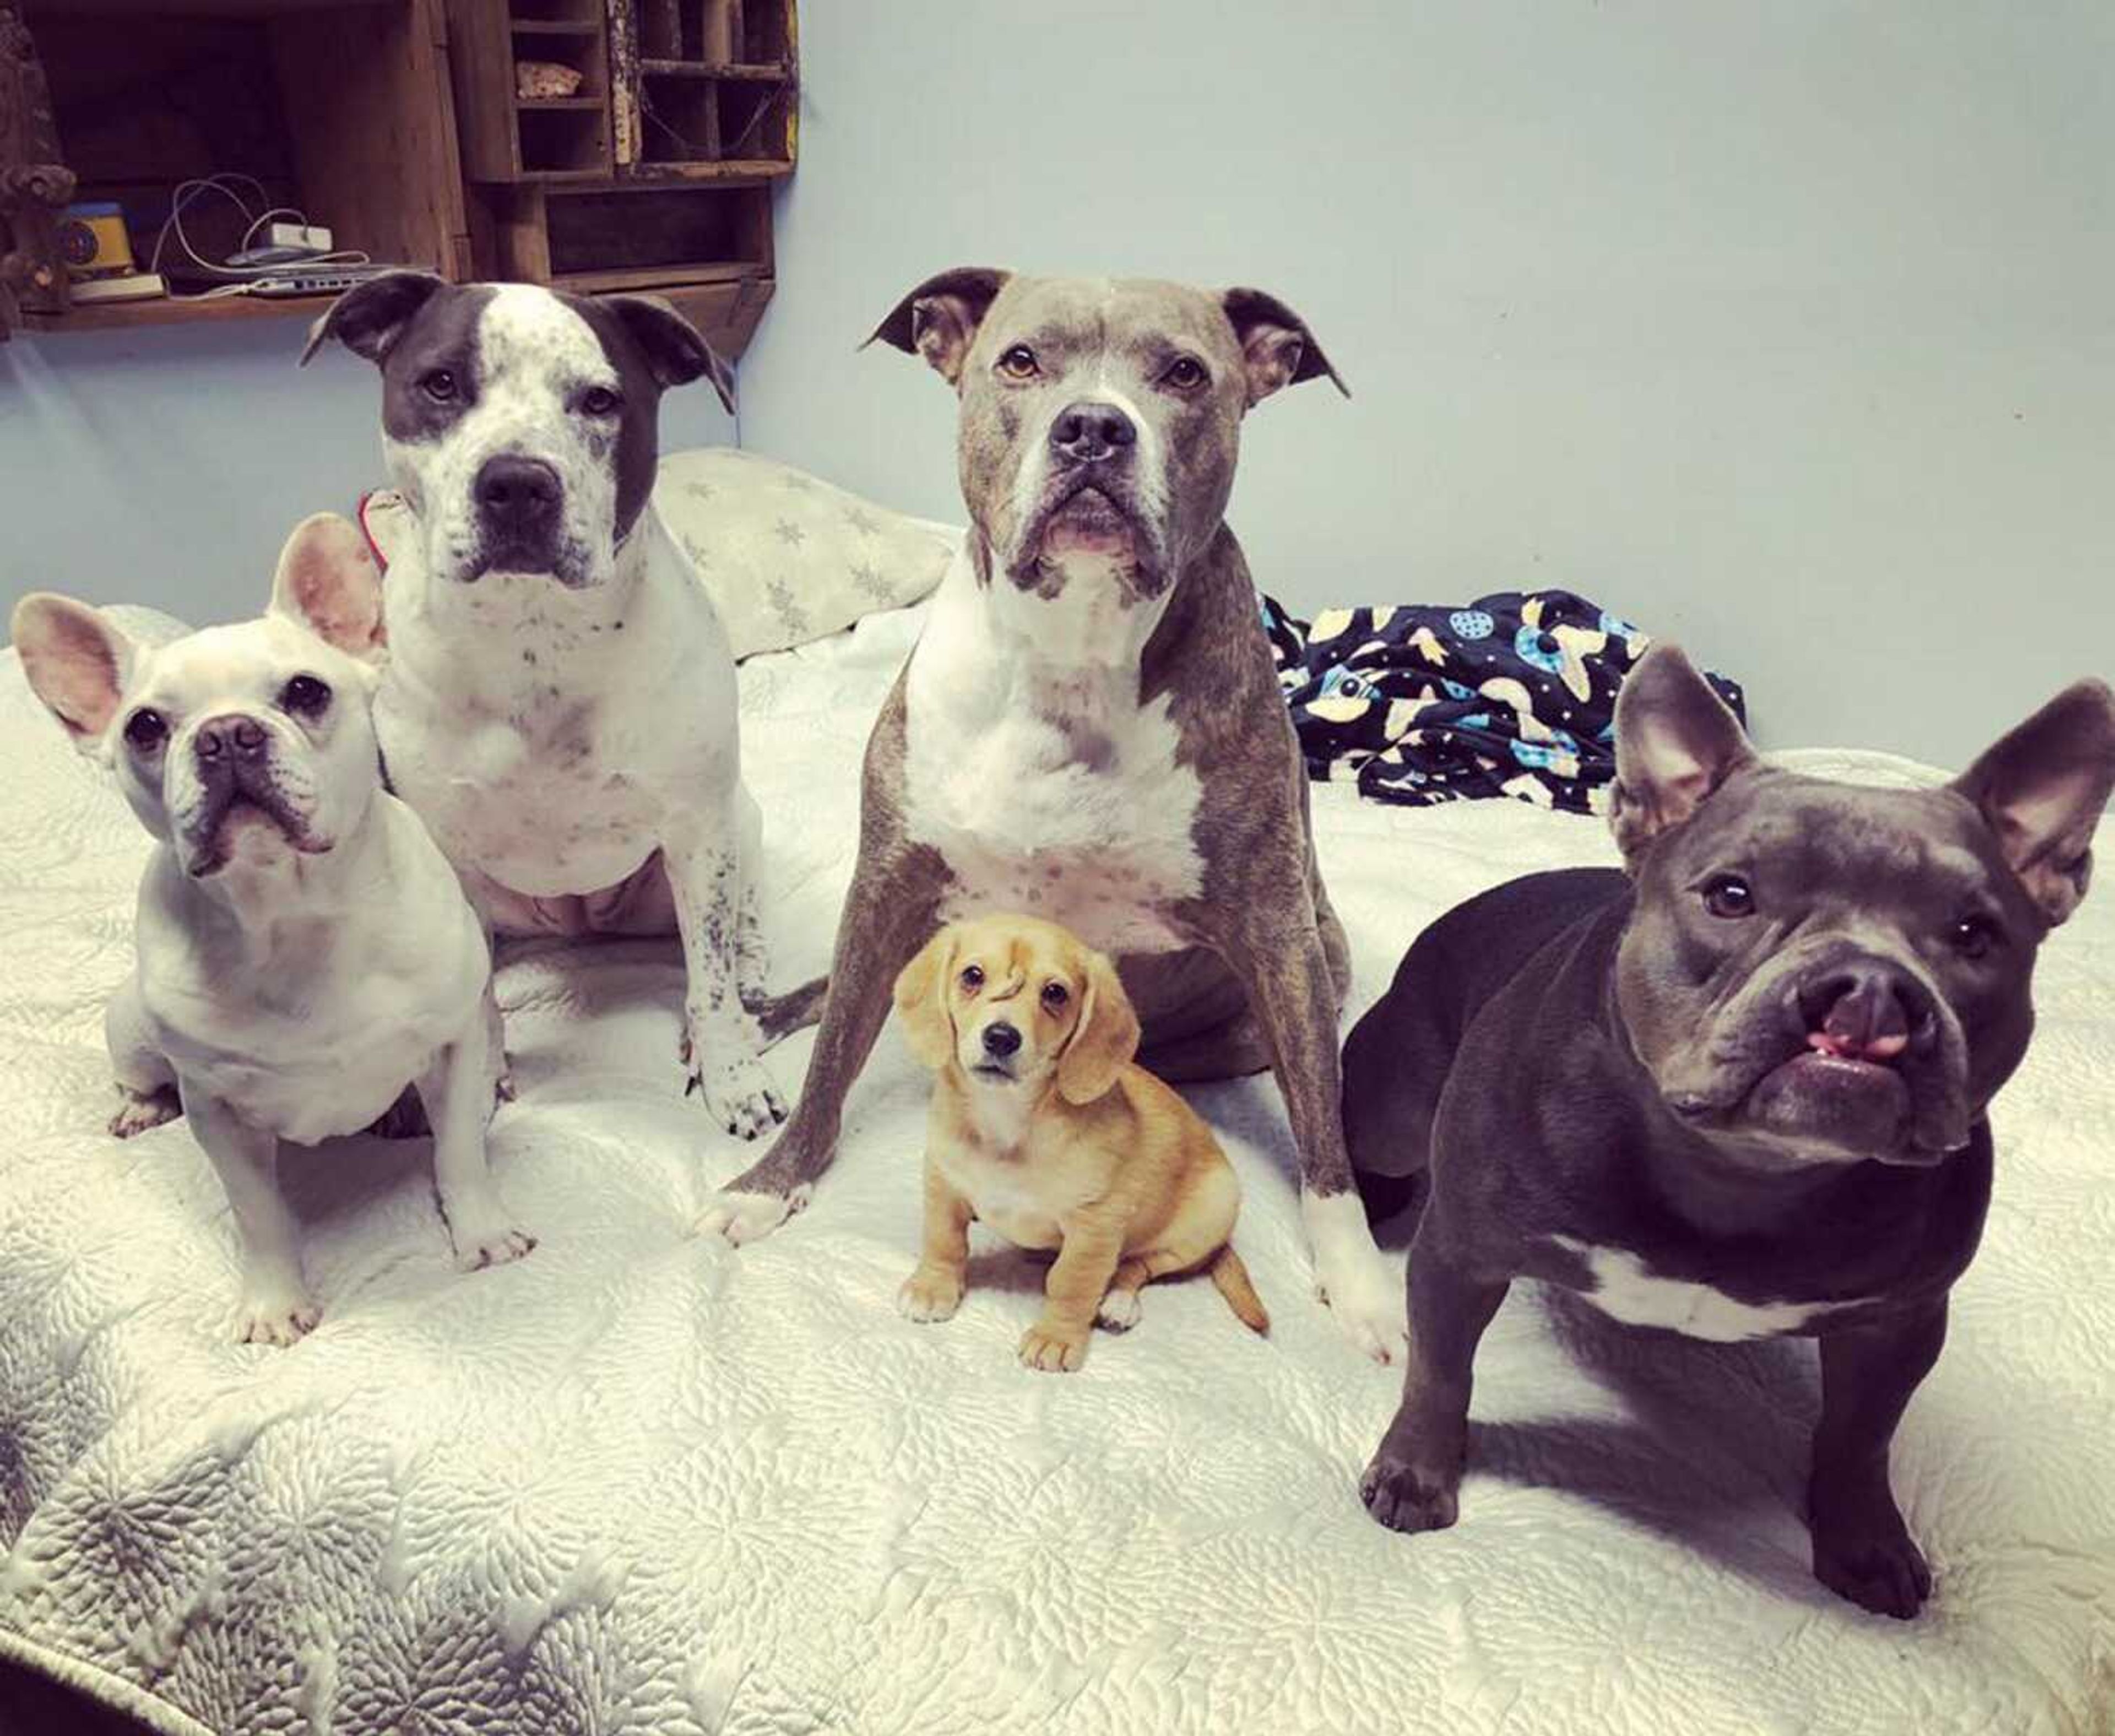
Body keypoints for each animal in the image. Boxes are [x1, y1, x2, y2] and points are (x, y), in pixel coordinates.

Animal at [14, 522, 527, 1344]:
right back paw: (140, 1107)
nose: (225, 735)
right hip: (127, 1027)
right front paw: (275, 1301)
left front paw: (481, 1232)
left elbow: (459, 1152)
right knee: (140, 1073)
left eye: (306, 692)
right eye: (145, 728)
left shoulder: (455, 1046)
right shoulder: (217, 1111)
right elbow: (258, 1212)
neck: (293, 916)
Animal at [306, 270, 816, 1142]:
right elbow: (477, 996)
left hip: (728, 830)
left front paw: (732, 1075)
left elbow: (711, 974)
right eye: (441, 383)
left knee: (727, 942)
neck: (533, 633)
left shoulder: (697, 828)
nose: (517, 483)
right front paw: (476, 1081)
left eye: (600, 399)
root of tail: (583, 926)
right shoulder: (450, 851)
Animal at [888, 909, 1260, 1370]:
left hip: (1207, 1215)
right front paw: (933, 1287)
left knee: (1137, 1266)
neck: (1007, 1121)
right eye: (972, 975)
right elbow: (943, 1241)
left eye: (1056, 993)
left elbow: (1071, 1284)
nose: (1001, 1038)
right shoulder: (944, 1184)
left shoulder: (1094, 1227)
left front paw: (1057, 1337)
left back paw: (1118, 1302)